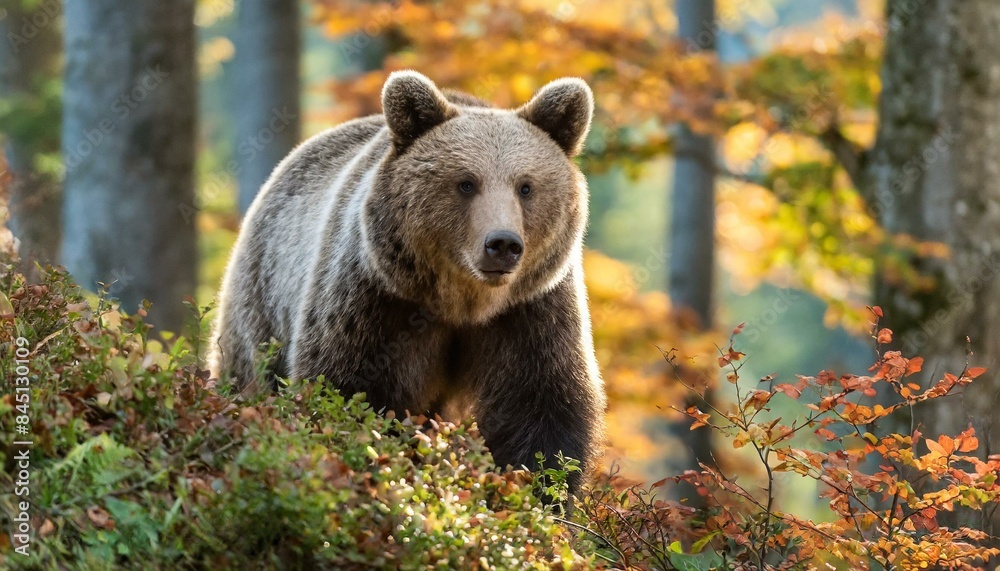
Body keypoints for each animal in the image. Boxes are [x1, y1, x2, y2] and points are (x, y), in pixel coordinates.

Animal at [209, 71, 606, 489]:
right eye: (466, 183)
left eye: (526, 186)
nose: (502, 244)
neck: (463, 302)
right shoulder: (376, 299)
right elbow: (351, 389)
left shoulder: (531, 310)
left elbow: (540, 407)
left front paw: (540, 487)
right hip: (263, 296)